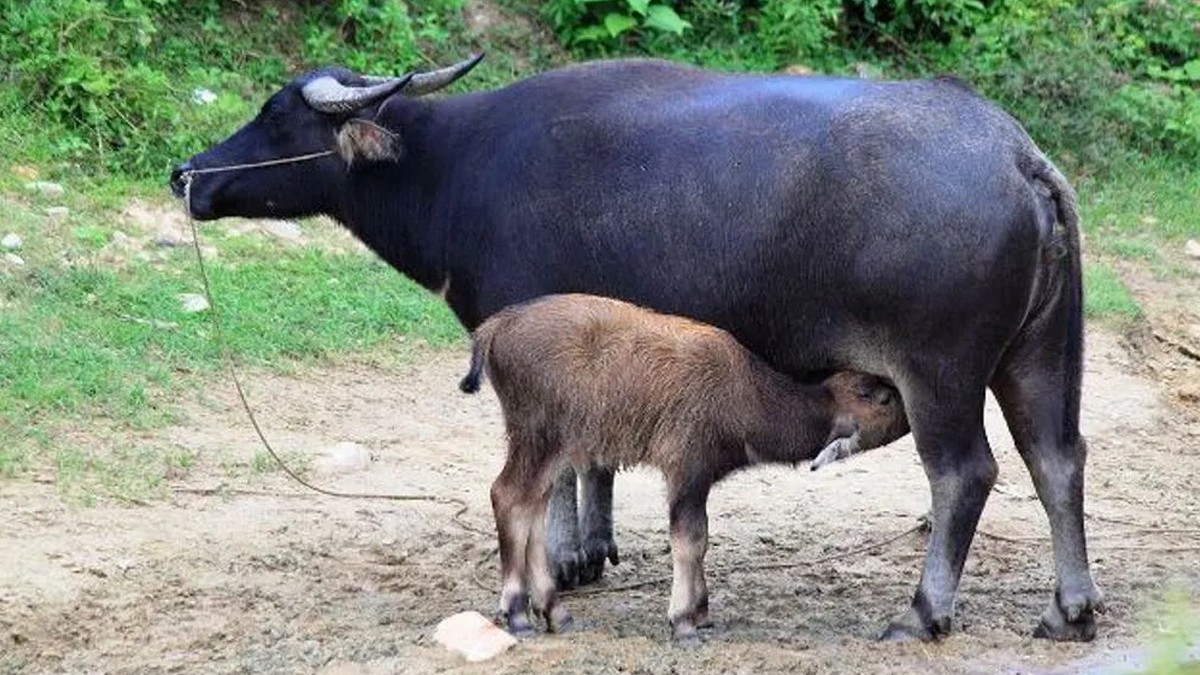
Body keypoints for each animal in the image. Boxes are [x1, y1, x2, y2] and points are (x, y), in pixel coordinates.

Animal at [460, 291, 907, 638]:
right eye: (882, 397)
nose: (911, 409)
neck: (745, 395)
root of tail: (496, 326)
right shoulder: (686, 470)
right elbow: (689, 539)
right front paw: (684, 621)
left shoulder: (699, 480)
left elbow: (703, 538)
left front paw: (703, 612)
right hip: (538, 440)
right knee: (507, 497)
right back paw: (517, 613)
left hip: (550, 451)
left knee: (533, 508)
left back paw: (554, 611)